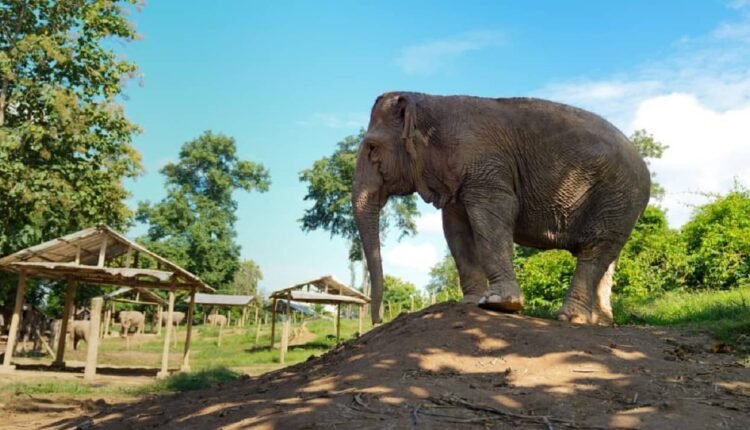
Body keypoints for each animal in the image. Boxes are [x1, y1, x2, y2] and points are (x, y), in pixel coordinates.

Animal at [352, 92, 650, 325]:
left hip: (616, 196)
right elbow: (455, 229)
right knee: (608, 257)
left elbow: (495, 213)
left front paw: (499, 304)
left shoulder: (486, 167)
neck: (429, 100)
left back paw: (570, 318)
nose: (378, 320)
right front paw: (470, 302)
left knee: (593, 251)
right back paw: (599, 322)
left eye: (372, 148)